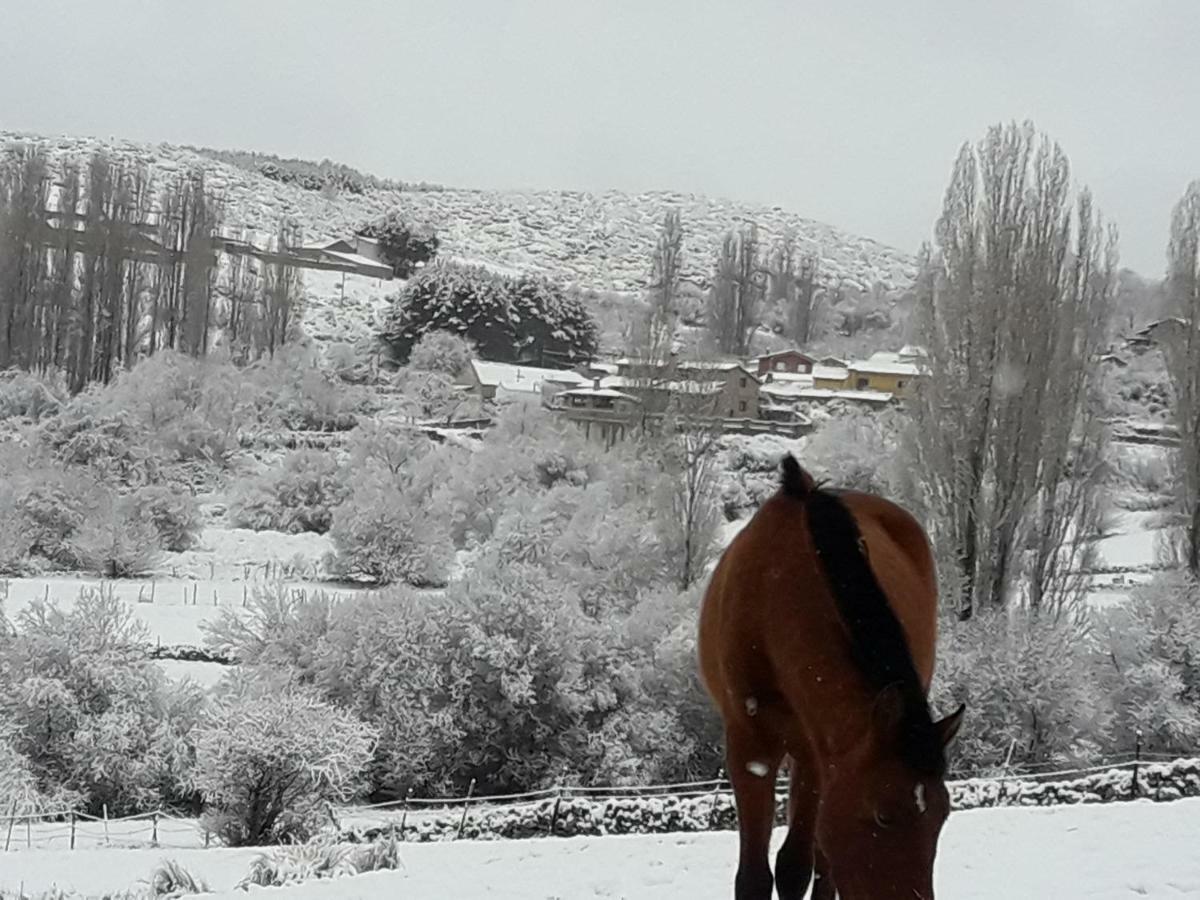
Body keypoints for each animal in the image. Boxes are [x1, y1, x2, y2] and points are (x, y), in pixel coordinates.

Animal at [700, 458, 964, 900]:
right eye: (883, 815)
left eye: (943, 815)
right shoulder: (749, 747)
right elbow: (755, 878)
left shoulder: (816, 753)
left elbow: (797, 867)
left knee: (823, 866)